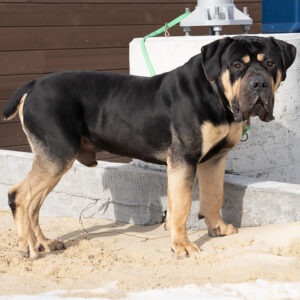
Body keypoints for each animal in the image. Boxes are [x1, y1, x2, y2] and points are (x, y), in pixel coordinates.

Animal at [3, 36, 296, 258]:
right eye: (236, 65)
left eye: (270, 63)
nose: (259, 83)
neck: (216, 95)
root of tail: (33, 84)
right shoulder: (183, 159)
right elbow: (181, 206)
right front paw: (182, 246)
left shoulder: (215, 159)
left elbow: (214, 196)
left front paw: (217, 229)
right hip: (56, 155)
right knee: (20, 196)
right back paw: (29, 247)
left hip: (53, 160)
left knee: (34, 204)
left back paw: (44, 243)